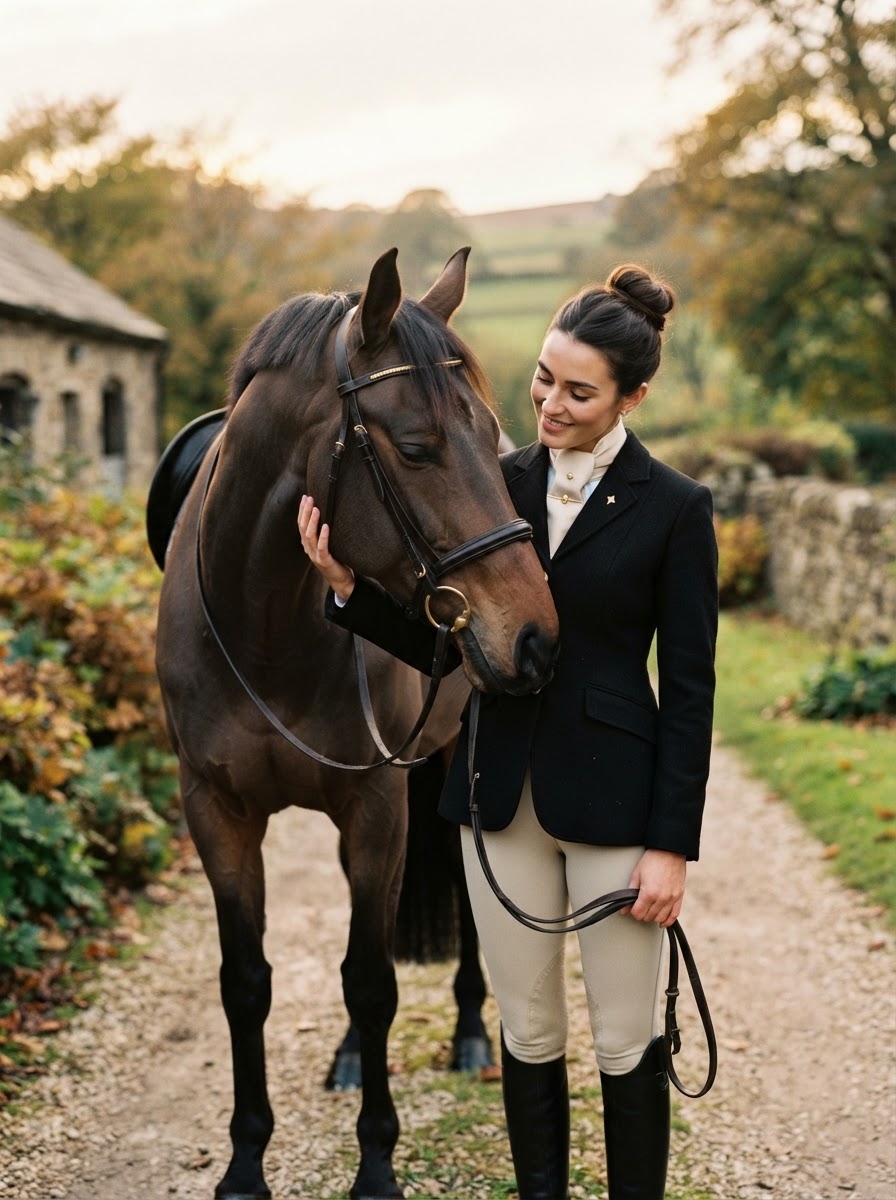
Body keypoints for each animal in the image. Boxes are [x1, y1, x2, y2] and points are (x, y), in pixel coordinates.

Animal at [153, 246, 560, 1200]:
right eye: (415, 448)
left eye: (491, 438)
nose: (533, 635)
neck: (266, 622)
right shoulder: (216, 811)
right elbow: (247, 984)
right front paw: (244, 1164)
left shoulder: (377, 805)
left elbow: (372, 981)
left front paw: (376, 1164)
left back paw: (470, 1035)